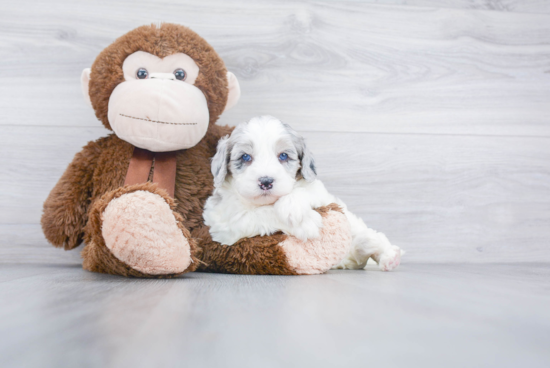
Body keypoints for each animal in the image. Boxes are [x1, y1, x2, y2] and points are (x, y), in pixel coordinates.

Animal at [205, 115, 404, 270]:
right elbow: (257, 214)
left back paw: (388, 255)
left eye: (283, 156)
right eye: (245, 157)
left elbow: (304, 189)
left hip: (352, 222)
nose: (266, 182)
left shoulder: (319, 190)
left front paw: (292, 206)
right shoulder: (222, 220)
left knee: (369, 236)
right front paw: (306, 221)